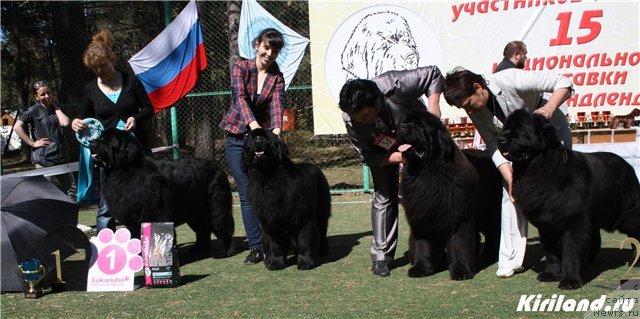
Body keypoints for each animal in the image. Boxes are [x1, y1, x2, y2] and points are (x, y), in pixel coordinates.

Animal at [90, 129, 238, 258]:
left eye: (107, 140)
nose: (91, 142)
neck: (125, 171)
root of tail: (219, 167)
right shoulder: (132, 219)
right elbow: (136, 237)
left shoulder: (155, 213)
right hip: (193, 211)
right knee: (202, 229)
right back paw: (198, 249)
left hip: (215, 206)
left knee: (222, 225)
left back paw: (224, 251)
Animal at [242, 127, 332, 270]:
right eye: (251, 139)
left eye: (266, 138)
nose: (258, 139)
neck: (268, 178)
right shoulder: (269, 220)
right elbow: (274, 244)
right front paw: (275, 262)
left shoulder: (302, 217)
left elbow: (304, 240)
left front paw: (305, 262)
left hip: (321, 210)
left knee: (322, 229)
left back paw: (322, 249)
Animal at [398, 109, 502, 280]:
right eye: (405, 121)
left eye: (420, 125)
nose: (401, 126)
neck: (427, 173)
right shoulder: (422, 217)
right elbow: (423, 244)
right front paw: (421, 267)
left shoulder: (459, 216)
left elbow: (459, 243)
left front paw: (461, 270)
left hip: (488, 211)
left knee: (493, 231)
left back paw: (490, 255)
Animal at [500, 109, 640, 292]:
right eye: (506, 128)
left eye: (520, 130)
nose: (500, 139)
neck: (539, 167)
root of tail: (628, 166)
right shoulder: (545, 224)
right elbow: (551, 253)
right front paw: (551, 274)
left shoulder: (573, 222)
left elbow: (570, 253)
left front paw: (570, 280)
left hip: (626, 215)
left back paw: (635, 261)